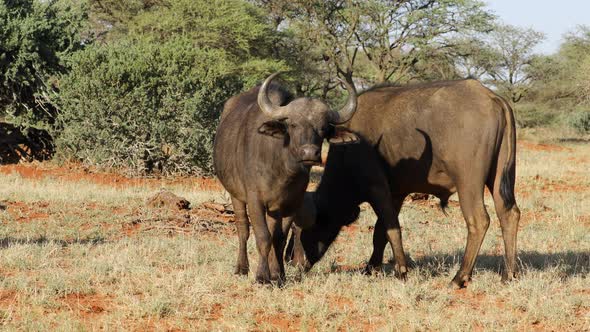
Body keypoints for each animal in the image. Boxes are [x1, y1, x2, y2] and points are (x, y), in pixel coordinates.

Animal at [214, 74, 360, 284]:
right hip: (236, 195)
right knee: (243, 229)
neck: (283, 171)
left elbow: (279, 239)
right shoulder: (255, 200)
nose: (310, 153)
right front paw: (262, 276)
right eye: (293, 125)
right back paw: (241, 268)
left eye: (323, 128)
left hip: (274, 209)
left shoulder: (291, 204)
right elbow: (263, 237)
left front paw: (278, 275)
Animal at [292, 80, 524, 288]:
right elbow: (380, 232)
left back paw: (459, 278)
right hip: (500, 177)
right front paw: (371, 268)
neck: (348, 150)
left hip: (468, 183)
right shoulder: (396, 194)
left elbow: (391, 229)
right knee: (509, 214)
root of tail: (491, 98)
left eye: (297, 229)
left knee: (479, 220)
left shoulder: (378, 189)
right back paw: (508, 275)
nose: (294, 263)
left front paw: (401, 271)